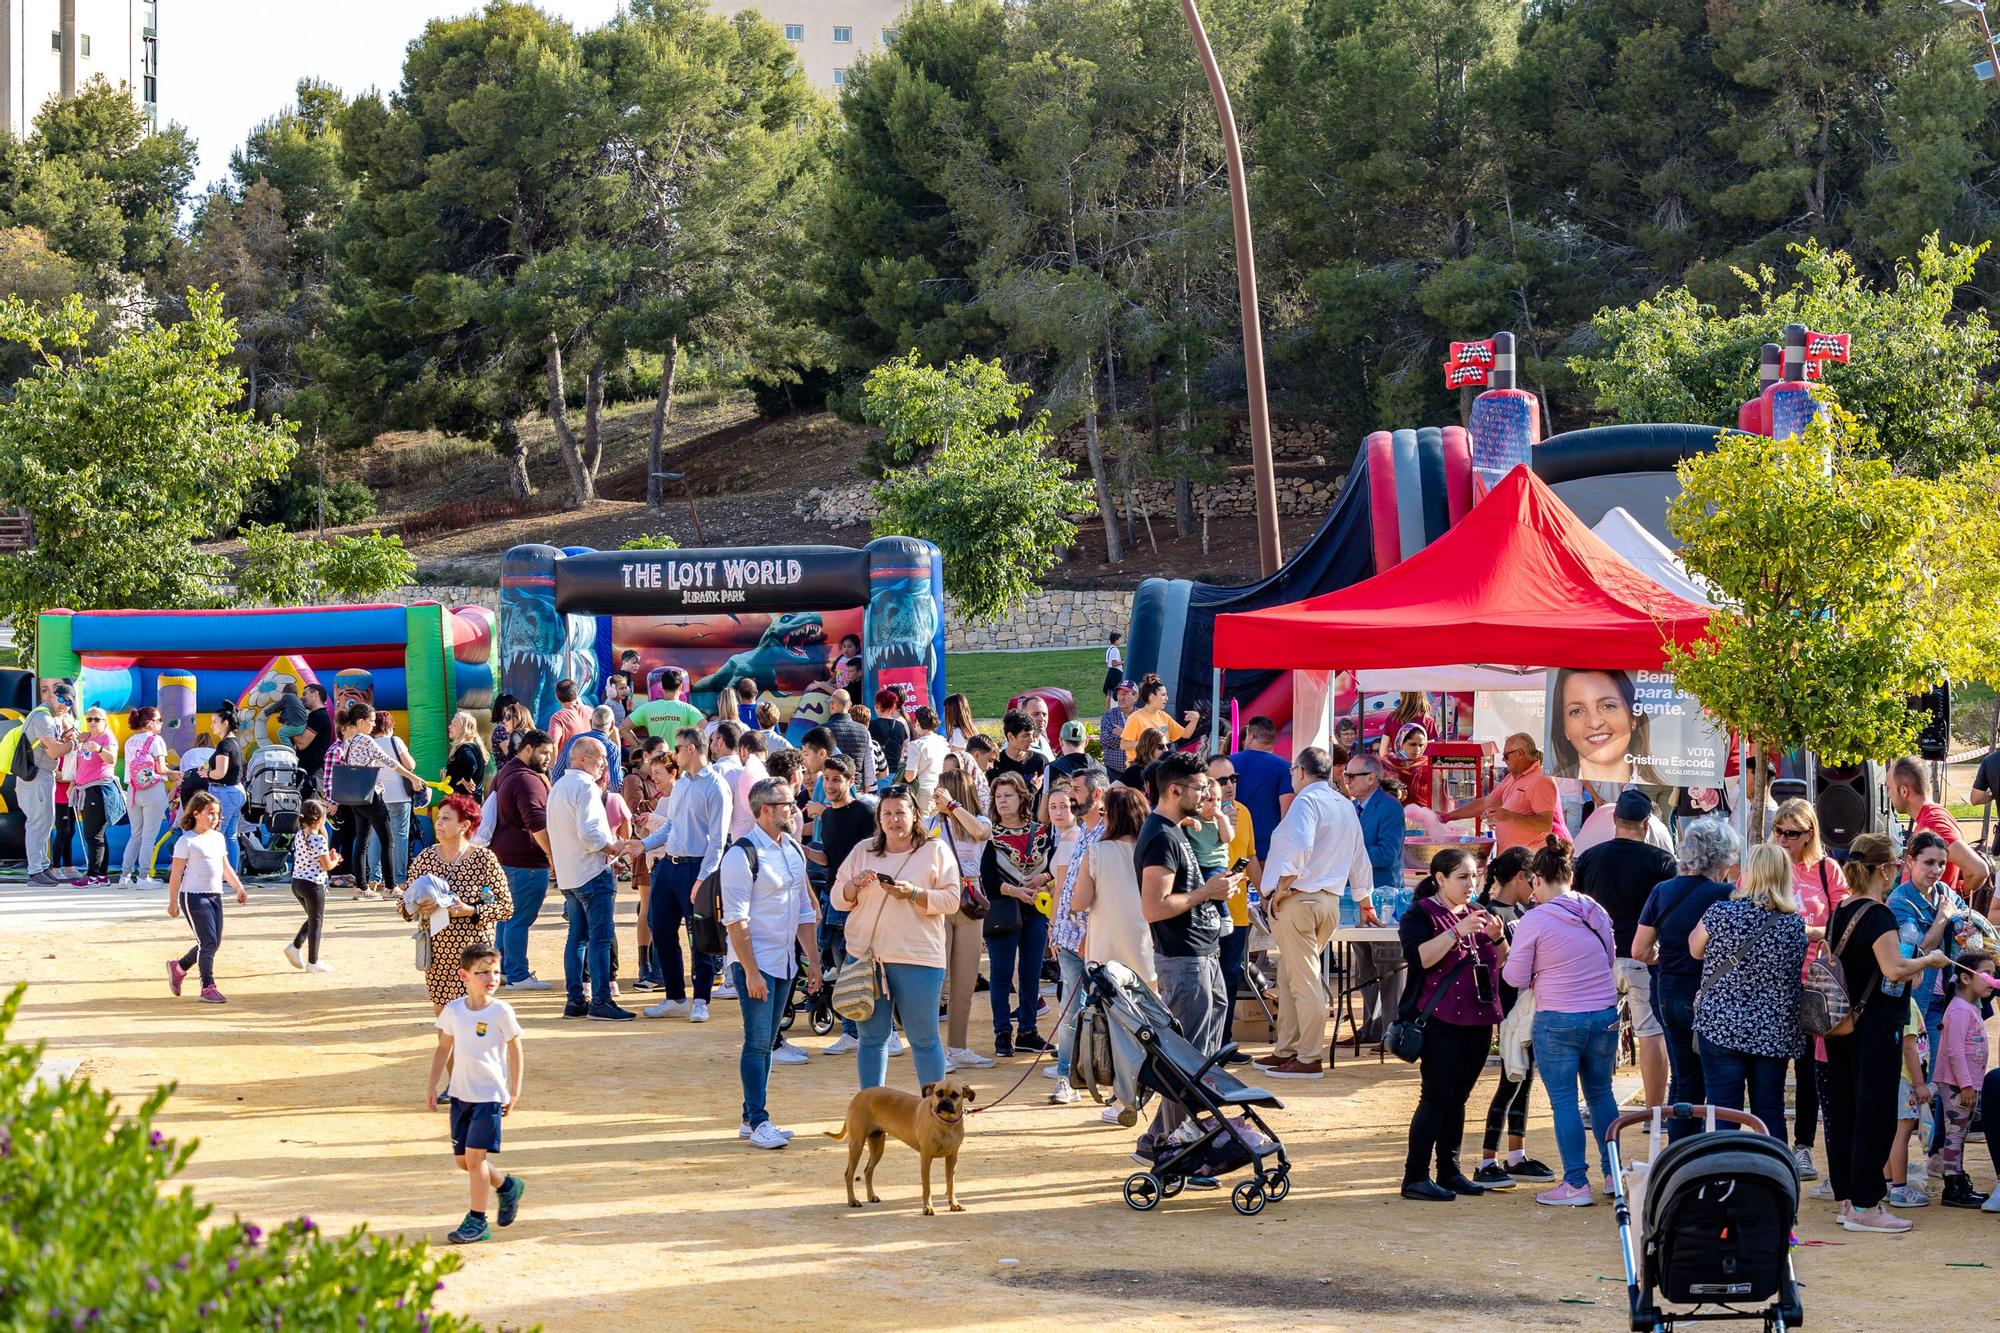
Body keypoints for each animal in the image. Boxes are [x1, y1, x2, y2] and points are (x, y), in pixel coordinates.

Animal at [828, 1080, 976, 1216]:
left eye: (955, 1095)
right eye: (938, 1093)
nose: (944, 1104)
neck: (945, 1123)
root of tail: (859, 1095)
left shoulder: (952, 1159)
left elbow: (951, 1185)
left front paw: (954, 1204)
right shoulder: (926, 1159)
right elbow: (927, 1188)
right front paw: (927, 1208)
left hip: (877, 1147)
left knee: (868, 1171)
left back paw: (871, 1196)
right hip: (857, 1145)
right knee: (849, 1174)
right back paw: (852, 1201)